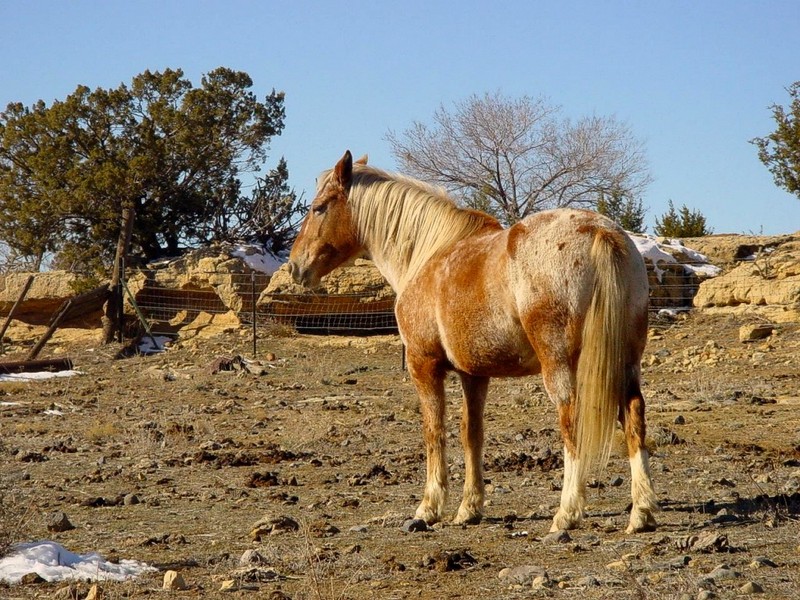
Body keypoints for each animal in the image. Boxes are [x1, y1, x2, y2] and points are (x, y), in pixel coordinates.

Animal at [288, 151, 656, 536]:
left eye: (319, 208)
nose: (295, 267)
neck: (427, 254)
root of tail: (600, 231)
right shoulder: (474, 375)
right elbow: (472, 434)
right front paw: (469, 508)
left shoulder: (424, 365)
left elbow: (434, 431)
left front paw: (429, 508)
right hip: (627, 363)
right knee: (634, 416)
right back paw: (641, 512)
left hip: (560, 366)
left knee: (571, 423)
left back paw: (567, 513)